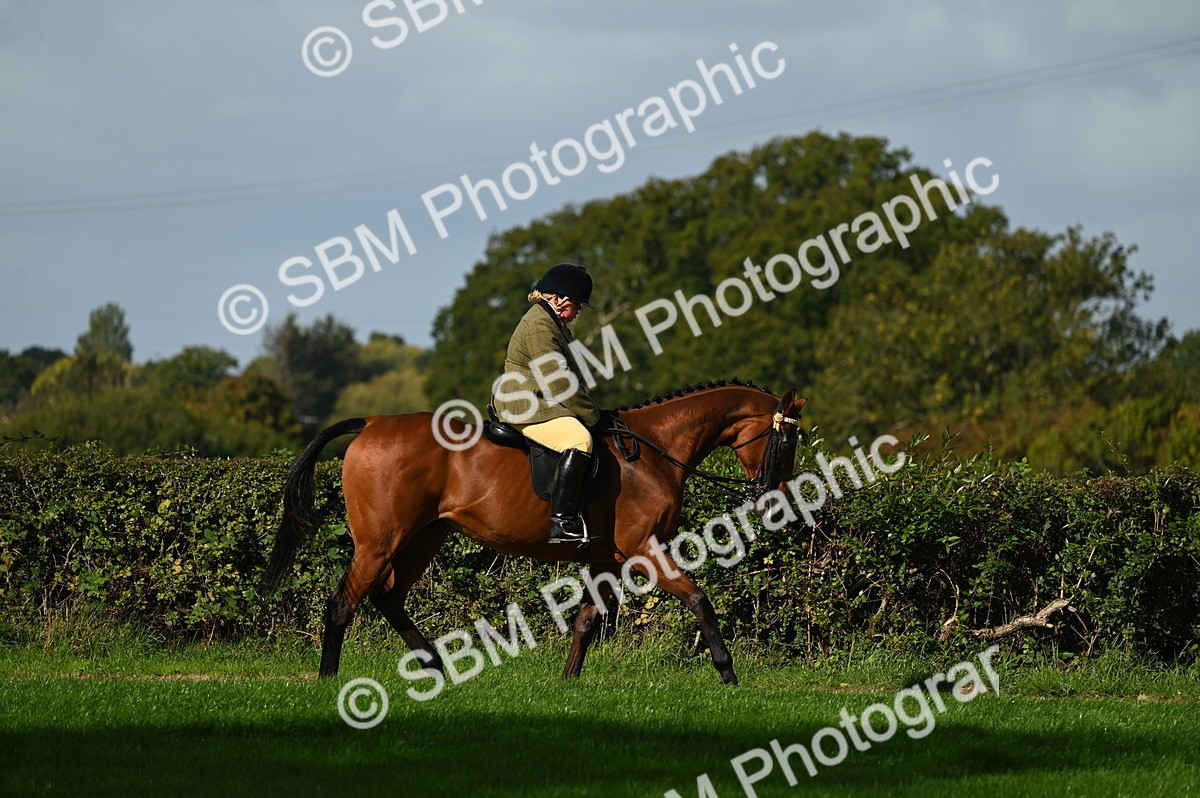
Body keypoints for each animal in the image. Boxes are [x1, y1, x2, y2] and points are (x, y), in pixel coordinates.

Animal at [262, 380, 805, 686]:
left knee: (388, 598)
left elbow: (586, 619)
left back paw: (435, 666)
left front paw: (568, 683)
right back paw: (328, 681)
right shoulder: (644, 549)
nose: (778, 496)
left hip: (424, 538)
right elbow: (698, 599)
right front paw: (727, 671)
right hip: (380, 542)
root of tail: (373, 421)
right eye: (788, 438)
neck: (656, 450)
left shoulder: (606, 558)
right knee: (343, 603)